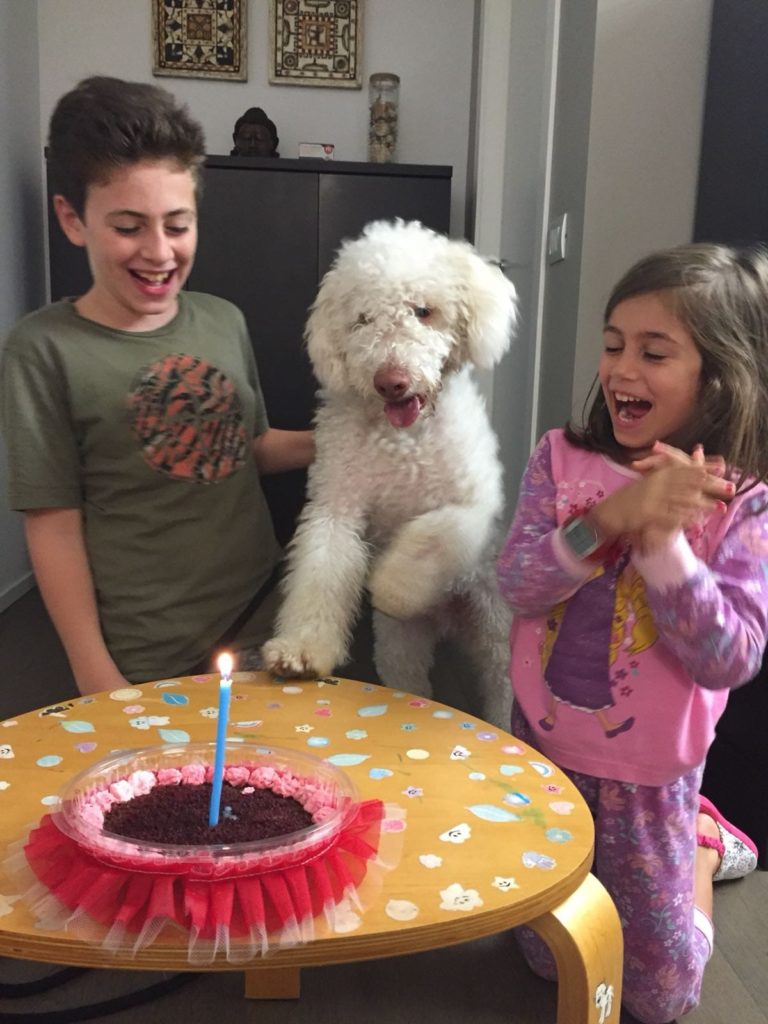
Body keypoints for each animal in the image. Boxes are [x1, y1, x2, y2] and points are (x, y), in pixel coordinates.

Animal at [262, 220, 520, 724]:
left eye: (423, 311)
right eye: (362, 320)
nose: (391, 381)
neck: (404, 440)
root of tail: (447, 620)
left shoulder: (472, 505)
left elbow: (431, 534)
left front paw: (394, 586)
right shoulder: (335, 506)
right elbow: (320, 572)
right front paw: (302, 648)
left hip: (496, 631)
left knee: (501, 686)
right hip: (402, 647)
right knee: (411, 679)